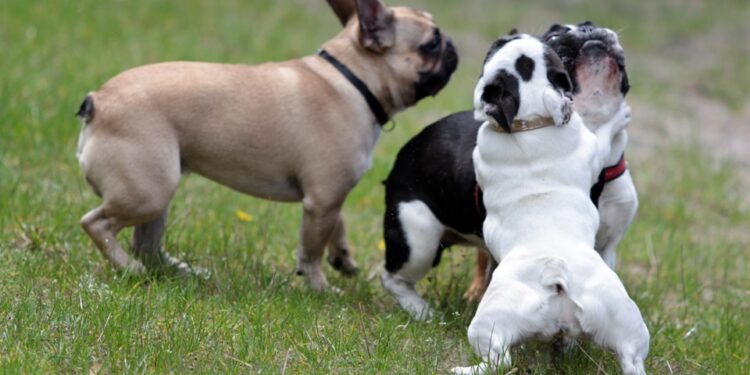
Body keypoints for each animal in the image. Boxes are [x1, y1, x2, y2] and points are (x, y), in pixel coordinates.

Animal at [378, 22, 636, 318]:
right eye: (555, 35)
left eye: (590, 25)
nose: (586, 29)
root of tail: (401, 158)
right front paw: (617, 120)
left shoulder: (606, 247)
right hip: (418, 237)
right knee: (392, 276)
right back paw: (421, 310)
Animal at [452, 32, 652, 375]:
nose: (515, 34)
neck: (528, 122)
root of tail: (555, 275)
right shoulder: (590, 148)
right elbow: (601, 136)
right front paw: (617, 118)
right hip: (491, 323)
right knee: (499, 361)